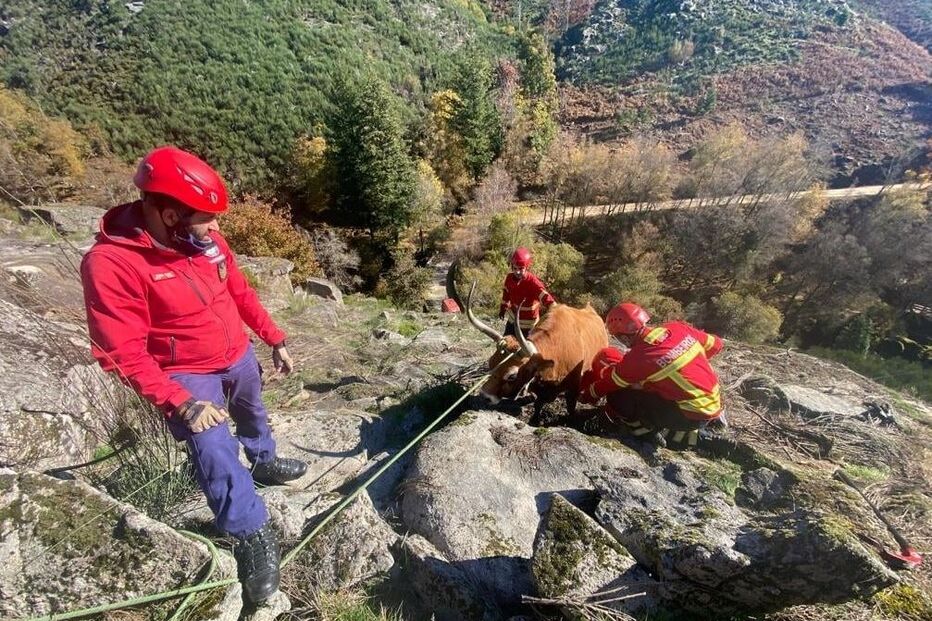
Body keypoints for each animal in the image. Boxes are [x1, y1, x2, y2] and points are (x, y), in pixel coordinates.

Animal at [455, 275, 608, 424]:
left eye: (512, 376)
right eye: (491, 363)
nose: (484, 396)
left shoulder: (574, 388)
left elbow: (571, 408)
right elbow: (538, 404)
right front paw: (534, 419)